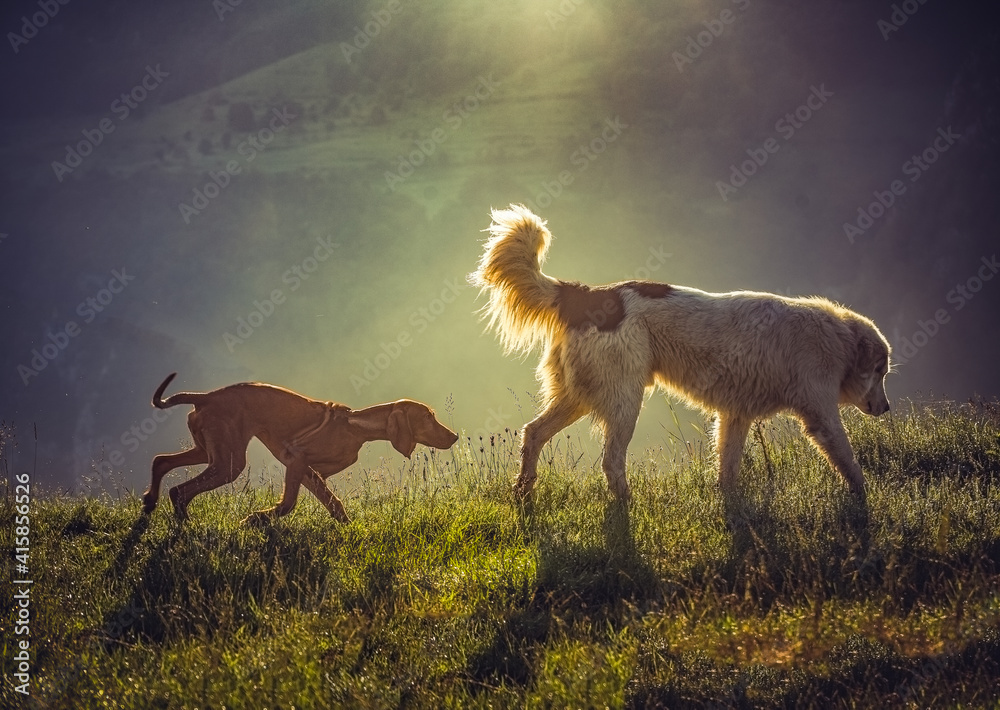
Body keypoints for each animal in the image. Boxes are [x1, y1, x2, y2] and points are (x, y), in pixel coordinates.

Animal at [142, 376, 460, 524]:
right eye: (428, 417)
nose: (455, 436)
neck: (355, 427)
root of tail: (206, 396)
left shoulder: (308, 472)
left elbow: (335, 504)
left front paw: (350, 530)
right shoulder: (296, 461)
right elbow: (288, 505)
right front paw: (255, 519)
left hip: (209, 452)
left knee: (160, 462)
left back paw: (150, 503)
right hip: (228, 463)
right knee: (179, 490)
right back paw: (185, 525)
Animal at [468, 206, 892, 504]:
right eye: (880, 370)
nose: (886, 408)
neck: (837, 340)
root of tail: (586, 294)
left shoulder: (734, 416)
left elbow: (728, 469)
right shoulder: (821, 415)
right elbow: (849, 462)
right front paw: (866, 497)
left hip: (579, 396)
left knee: (533, 432)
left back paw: (524, 492)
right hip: (624, 400)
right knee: (610, 459)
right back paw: (625, 503)